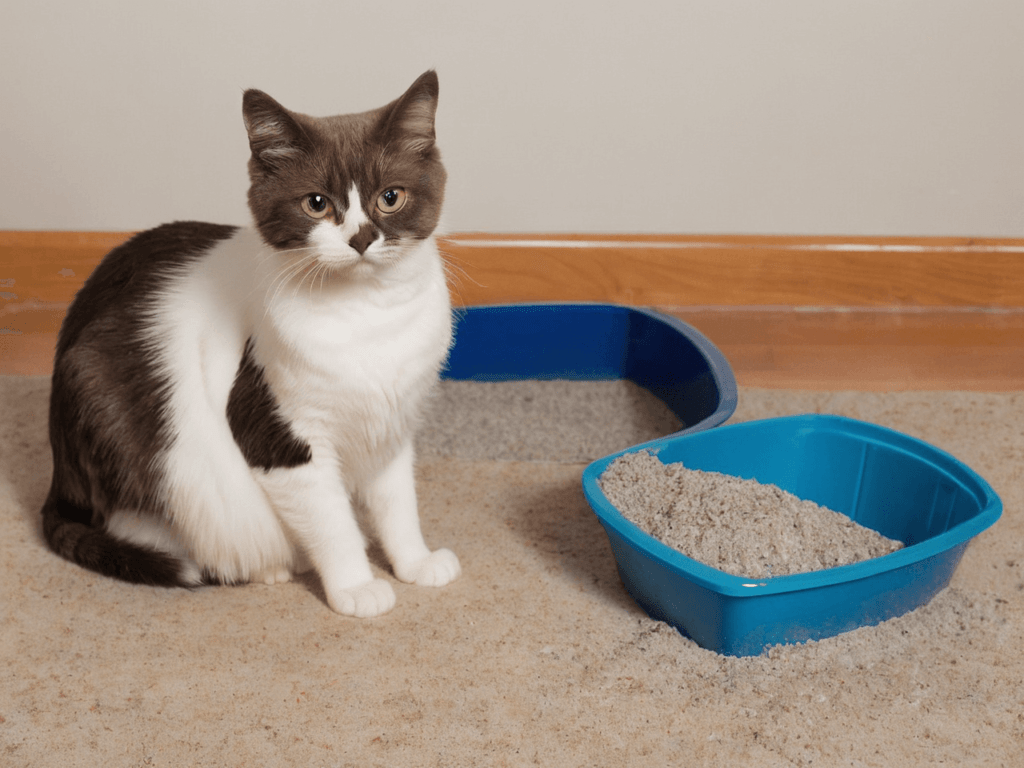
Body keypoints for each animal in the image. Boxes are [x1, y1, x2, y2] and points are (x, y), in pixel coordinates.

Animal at [38, 69, 456, 618]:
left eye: (391, 197)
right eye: (316, 204)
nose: (362, 238)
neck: (366, 315)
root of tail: (59, 473)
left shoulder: (392, 424)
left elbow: (397, 501)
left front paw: (414, 561)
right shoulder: (278, 432)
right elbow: (332, 520)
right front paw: (355, 586)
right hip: (108, 401)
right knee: (156, 523)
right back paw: (267, 565)